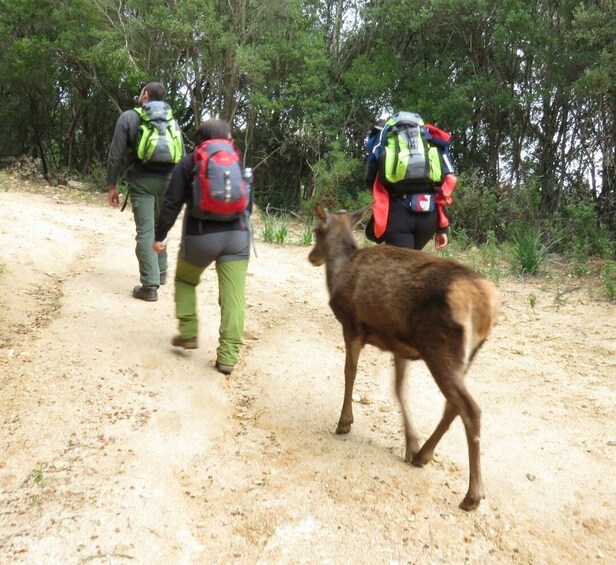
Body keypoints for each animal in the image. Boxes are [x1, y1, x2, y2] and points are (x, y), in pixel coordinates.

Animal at [308, 204, 500, 512]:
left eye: (316, 230)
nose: (311, 257)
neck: (339, 272)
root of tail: (487, 306)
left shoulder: (351, 326)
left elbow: (350, 372)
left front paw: (344, 422)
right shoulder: (399, 345)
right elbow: (398, 388)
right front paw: (411, 444)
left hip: (441, 349)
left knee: (470, 409)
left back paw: (472, 496)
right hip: (465, 355)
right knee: (453, 405)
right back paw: (423, 455)